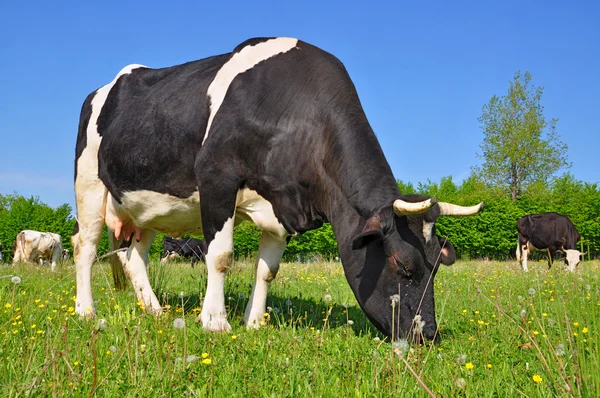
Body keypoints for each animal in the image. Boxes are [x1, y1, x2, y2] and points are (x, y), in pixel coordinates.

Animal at [72, 37, 482, 342]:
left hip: (146, 207)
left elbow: (267, 270)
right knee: (85, 247)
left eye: (438, 265)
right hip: (89, 185)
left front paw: (254, 323)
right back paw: (86, 311)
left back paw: (156, 311)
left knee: (133, 256)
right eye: (402, 265)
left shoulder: (283, 206)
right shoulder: (216, 178)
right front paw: (216, 321)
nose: (428, 335)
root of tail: (106, 86)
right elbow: (220, 256)